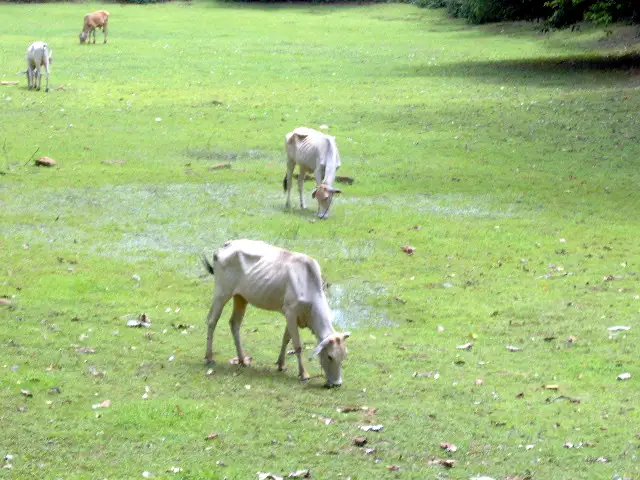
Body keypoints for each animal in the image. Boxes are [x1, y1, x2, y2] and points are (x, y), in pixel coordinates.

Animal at [201, 239, 350, 387]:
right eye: (330, 356)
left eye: (344, 355)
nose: (337, 383)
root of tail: (226, 245)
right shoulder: (291, 313)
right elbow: (297, 345)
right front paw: (304, 374)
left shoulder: (291, 315)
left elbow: (286, 339)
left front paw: (281, 364)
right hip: (222, 292)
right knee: (212, 320)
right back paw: (209, 357)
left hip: (241, 297)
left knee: (234, 323)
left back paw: (243, 360)